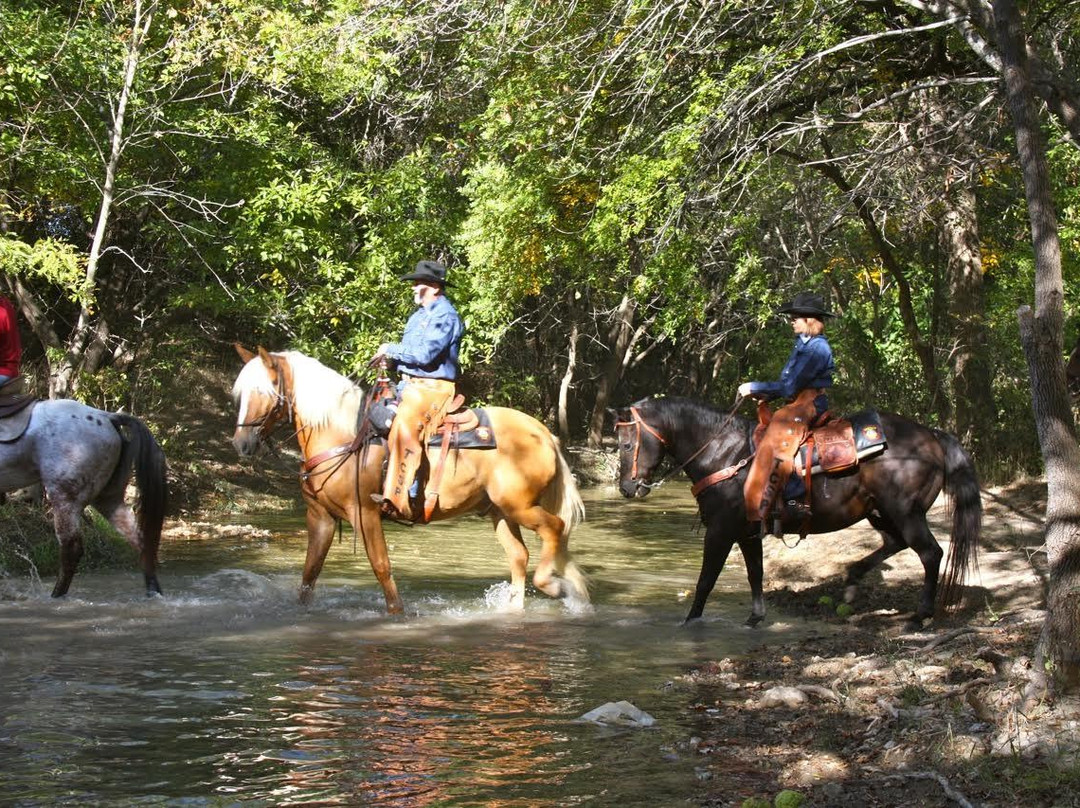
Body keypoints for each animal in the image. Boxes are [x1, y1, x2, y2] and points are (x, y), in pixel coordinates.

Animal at [0, 401, 167, 596]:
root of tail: (107, 417)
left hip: (65, 497)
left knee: (71, 549)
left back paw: (56, 595)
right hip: (108, 498)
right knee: (140, 541)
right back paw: (153, 592)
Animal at [230, 343, 591, 613]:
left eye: (264, 390)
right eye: (242, 393)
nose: (241, 444)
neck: (342, 435)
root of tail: (544, 434)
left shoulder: (364, 514)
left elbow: (382, 567)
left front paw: (397, 615)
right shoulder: (320, 517)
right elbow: (310, 573)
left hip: (520, 506)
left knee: (555, 528)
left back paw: (556, 587)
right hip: (499, 511)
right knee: (519, 555)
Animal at [617, 395, 980, 626]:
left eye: (626, 443)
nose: (627, 488)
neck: (724, 453)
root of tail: (932, 436)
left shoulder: (720, 532)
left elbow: (706, 580)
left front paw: (689, 622)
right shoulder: (748, 533)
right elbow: (755, 573)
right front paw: (755, 618)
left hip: (905, 512)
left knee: (930, 553)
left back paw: (920, 616)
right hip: (881, 513)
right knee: (896, 543)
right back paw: (851, 582)